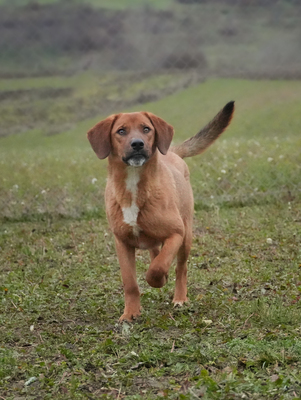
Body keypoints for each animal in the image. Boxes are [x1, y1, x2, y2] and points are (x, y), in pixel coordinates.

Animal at [88, 101, 233, 320]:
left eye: (146, 129)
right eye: (121, 131)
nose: (137, 144)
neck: (134, 188)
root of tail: (172, 151)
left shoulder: (176, 233)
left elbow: (158, 267)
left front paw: (159, 279)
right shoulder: (122, 243)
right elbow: (130, 282)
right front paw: (130, 313)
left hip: (186, 237)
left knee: (181, 268)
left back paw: (180, 298)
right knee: (155, 251)